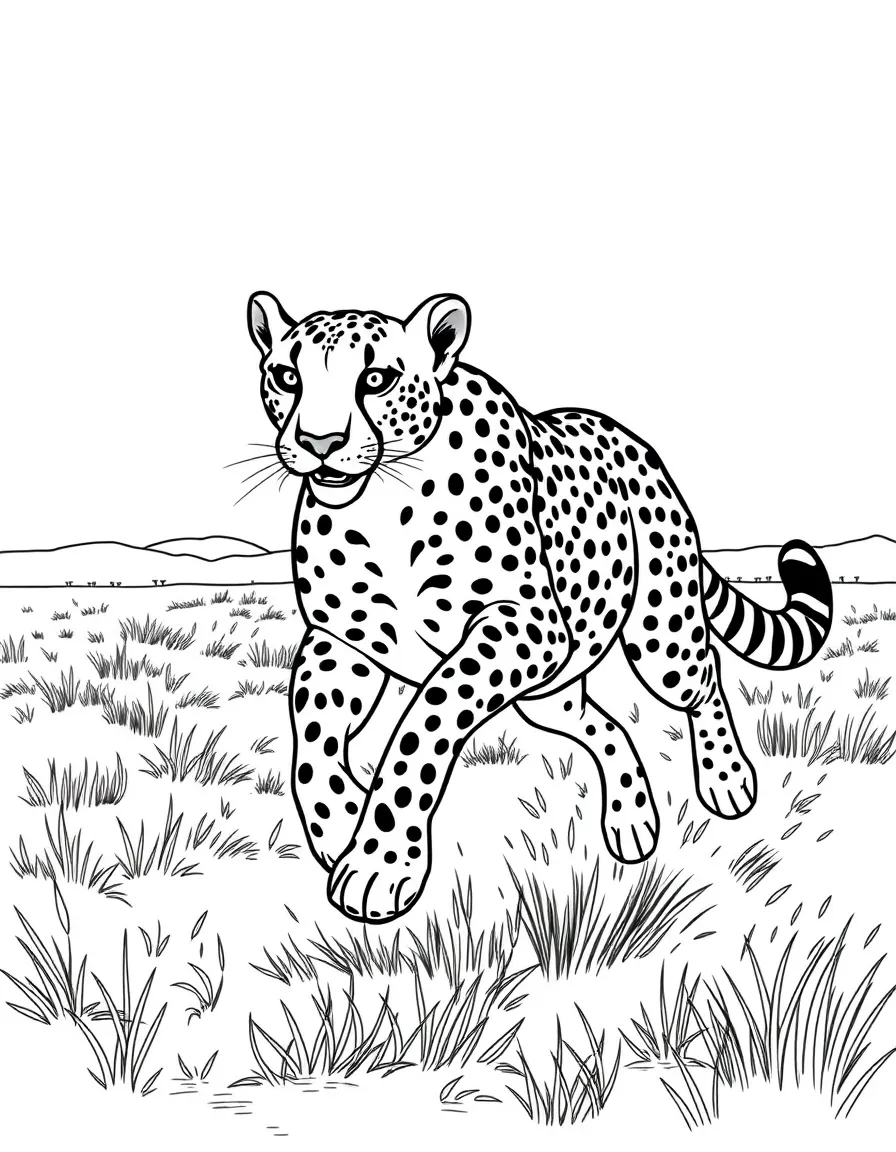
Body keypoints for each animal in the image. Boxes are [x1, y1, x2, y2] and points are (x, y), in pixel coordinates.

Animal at [247, 291, 833, 923]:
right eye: (287, 376)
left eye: (376, 379)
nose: (320, 442)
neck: (382, 502)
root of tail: (637, 444)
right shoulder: (341, 643)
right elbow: (311, 748)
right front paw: (340, 828)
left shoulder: (525, 625)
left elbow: (425, 722)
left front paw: (381, 862)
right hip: (549, 690)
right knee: (600, 724)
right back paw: (632, 818)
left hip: (660, 635)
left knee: (703, 684)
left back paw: (726, 780)